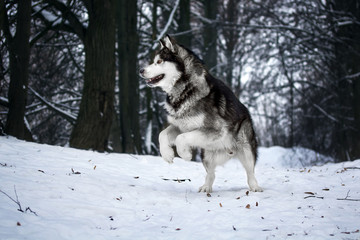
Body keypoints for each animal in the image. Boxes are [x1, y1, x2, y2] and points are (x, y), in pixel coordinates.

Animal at [140, 35, 262, 193]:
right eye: (154, 61)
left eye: (159, 62)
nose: (141, 70)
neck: (185, 90)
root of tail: (229, 152)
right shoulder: (180, 126)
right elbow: (162, 134)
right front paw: (167, 154)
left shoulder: (215, 129)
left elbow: (181, 138)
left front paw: (185, 154)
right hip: (207, 155)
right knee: (211, 174)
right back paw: (206, 188)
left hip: (246, 148)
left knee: (250, 172)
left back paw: (255, 187)